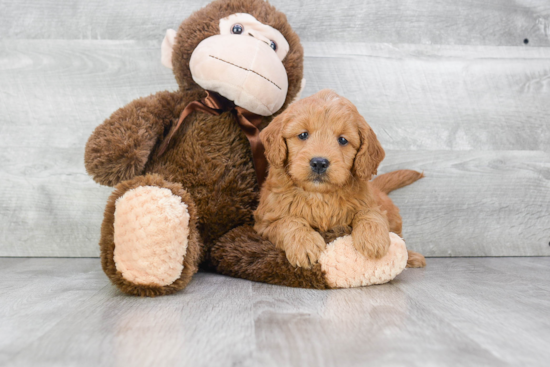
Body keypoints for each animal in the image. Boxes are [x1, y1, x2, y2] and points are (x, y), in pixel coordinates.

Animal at [254, 88, 426, 268]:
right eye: (303, 135)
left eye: (342, 140)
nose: (319, 163)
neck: (320, 195)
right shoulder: (264, 223)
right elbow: (287, 222)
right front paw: (304, 243)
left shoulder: (371, 204)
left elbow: (370, 213)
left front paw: (373, 238)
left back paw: (412, 256)